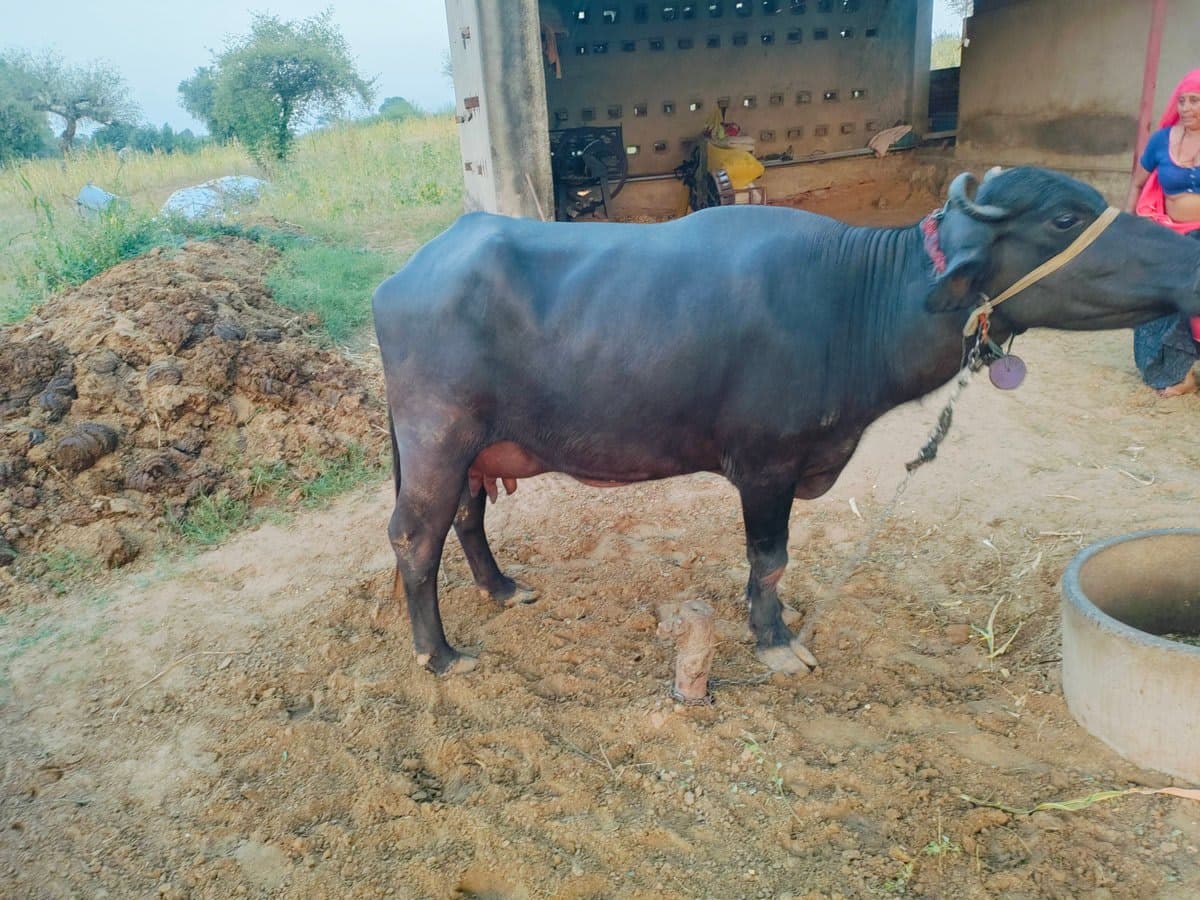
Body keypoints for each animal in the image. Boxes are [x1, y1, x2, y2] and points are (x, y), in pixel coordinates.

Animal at [372, 167, 1200, 677]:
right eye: (1064, 217)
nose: (1189, 267)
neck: (851, 300)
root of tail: (402, 278)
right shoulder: (765, 466)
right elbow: (769, 558)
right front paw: (774, 641)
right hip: (438, 436)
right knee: (415, 538)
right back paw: (439, 654)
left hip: (478, 447)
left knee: (467, 518)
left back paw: (502, 588)